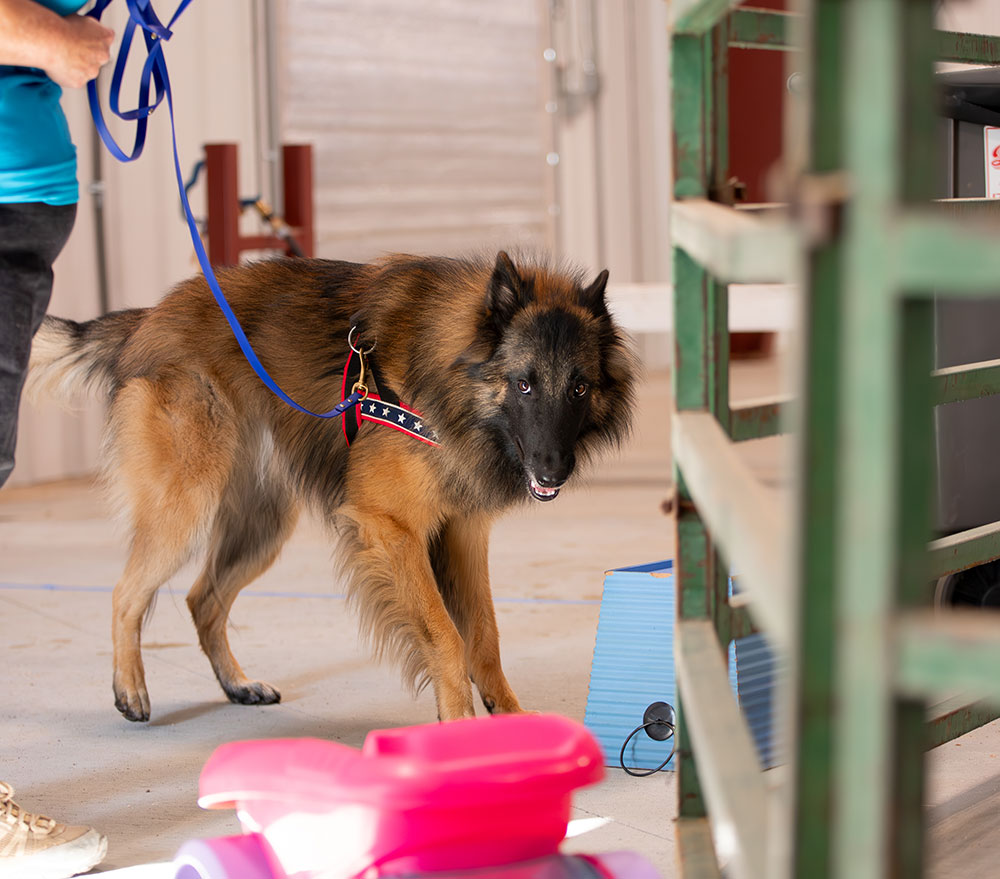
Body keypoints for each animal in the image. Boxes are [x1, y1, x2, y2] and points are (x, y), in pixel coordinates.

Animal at [27, 249, 636, 720]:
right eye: (525, 384)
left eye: (579, 388)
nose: (552, 472)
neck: (455, 380)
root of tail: (149, 316)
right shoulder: (390, 529)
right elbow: (446, 635)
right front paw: (460, 725)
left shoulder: (463, 534)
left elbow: (485, 637)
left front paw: (510, 719)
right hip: (186, 507)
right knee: (126, 593)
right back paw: (130, 689)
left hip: (261, 528)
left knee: (203, 599)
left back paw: (236, 684)